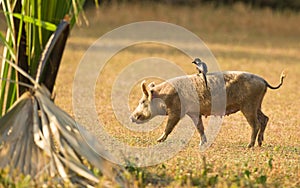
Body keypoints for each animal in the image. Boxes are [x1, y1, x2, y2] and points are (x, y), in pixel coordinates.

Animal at [129, 71, 284, 148]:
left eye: (143, 101)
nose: (131, 117)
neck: (164, 96)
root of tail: (263, 81)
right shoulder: (194, 113)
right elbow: (200, 127)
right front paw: (202, 143)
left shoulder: (176, 111)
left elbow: (169, 126)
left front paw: (158, 140)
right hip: (257, 104)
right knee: (265, 118)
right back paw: (260, 143)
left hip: (248, 105)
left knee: (256, 124)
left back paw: (249, 145)